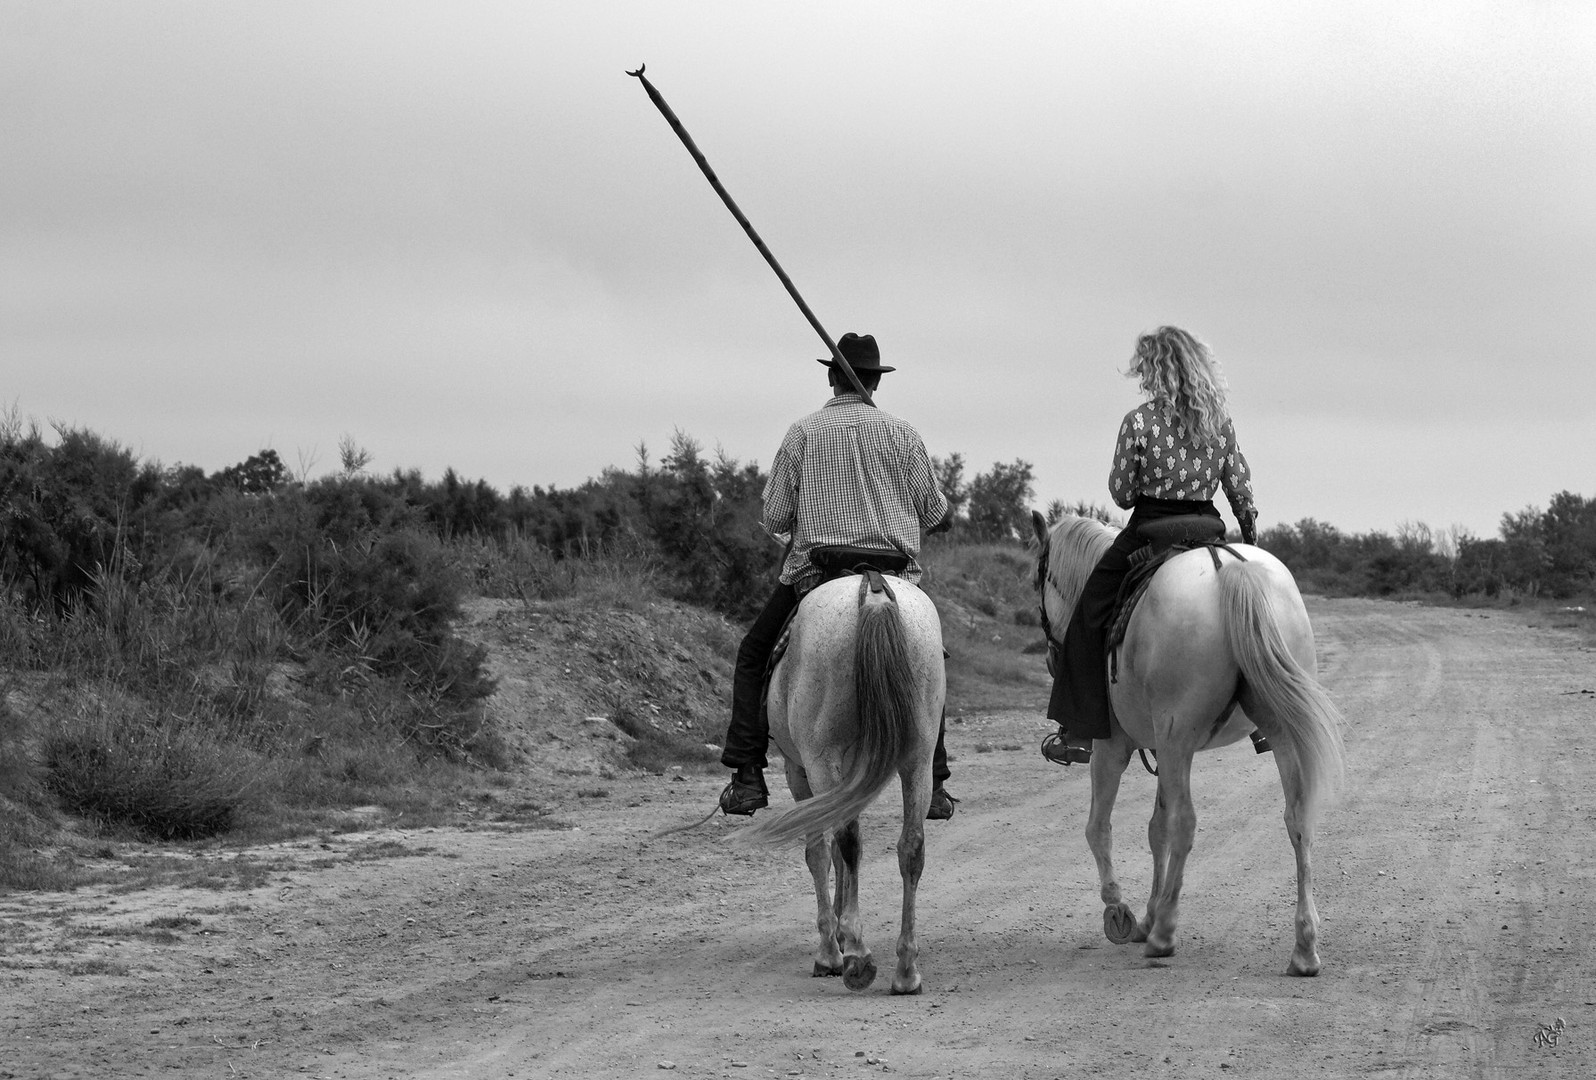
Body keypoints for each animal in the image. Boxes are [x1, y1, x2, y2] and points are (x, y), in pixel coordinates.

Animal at [737, 574, 944, 995]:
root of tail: (875, 593)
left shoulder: (800, 772)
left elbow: (818, 852)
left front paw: (831, 949)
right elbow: (838, 851)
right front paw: (842, 934)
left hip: (820, 758)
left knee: (847, 839)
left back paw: (857, 957)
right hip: (918, 758)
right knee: (910, 847)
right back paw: (905, 970)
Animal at [1034, 510, 1347, 969]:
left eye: (1037, 579)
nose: (1051, 658)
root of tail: (1229, 569)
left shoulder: (1115, 747)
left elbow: (1100, 827)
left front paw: (1120, 911)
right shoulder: (1164, 750)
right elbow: (1155, 828)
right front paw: (1148, 913)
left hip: (1177, 737)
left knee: (1186, 822)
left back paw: (1165, 935)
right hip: (1275, 732)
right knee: (1298, 820)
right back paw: (1304, 948)